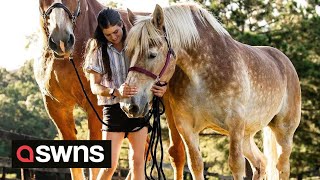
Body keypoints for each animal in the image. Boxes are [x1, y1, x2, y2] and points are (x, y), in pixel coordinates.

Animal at [121, 3, 302, 180]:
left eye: (152, 54)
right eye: (128, 52)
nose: (129, 105)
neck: (202, 75)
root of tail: (285, 62)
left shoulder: (235, 125)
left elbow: (236, 165)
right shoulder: (187, 128)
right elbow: (195, 165)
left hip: (283, 132)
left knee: (282, 167)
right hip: (246, 135)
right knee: (260, 163)